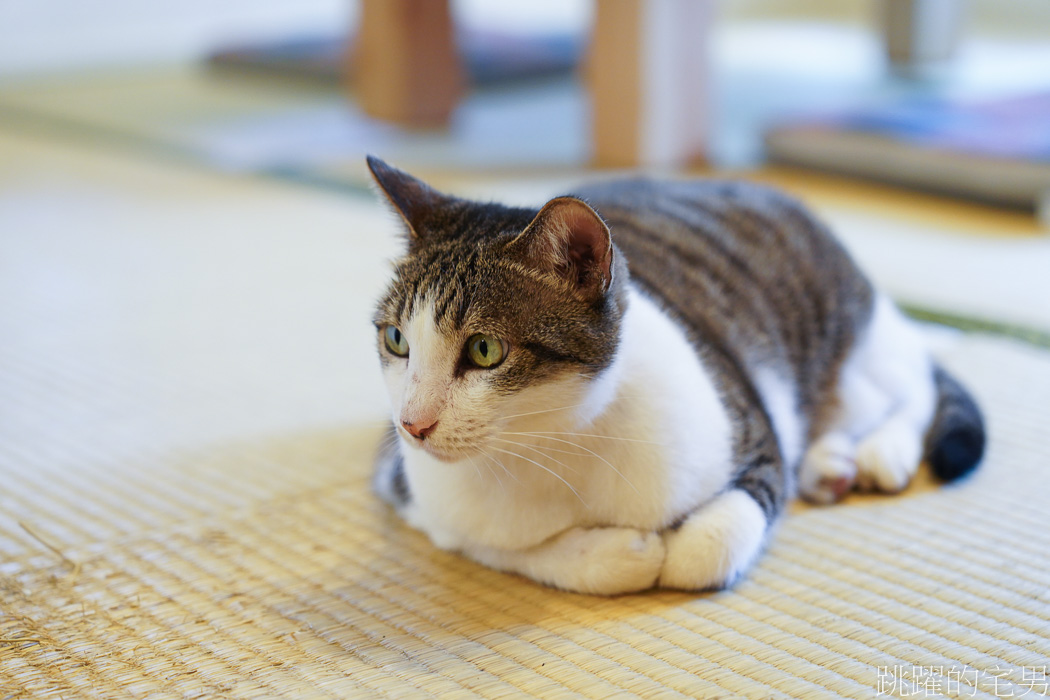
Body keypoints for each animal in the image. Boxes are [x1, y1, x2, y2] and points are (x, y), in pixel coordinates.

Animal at [367, 156, 982, 596]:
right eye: (396, 340)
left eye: (485, 349)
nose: (412, 425)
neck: (549, 446)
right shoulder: (410, 491)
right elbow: (504, 547)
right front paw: (624, 552)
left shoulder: (753, 432)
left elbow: (707, 548)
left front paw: (672, 549)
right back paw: (828, 462)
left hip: (855, 353)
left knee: (914, 384)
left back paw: (880, 450)